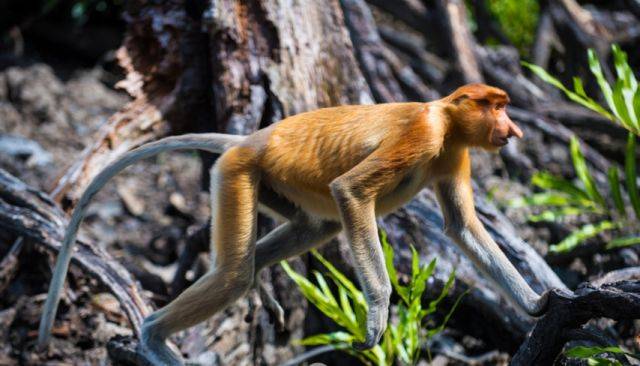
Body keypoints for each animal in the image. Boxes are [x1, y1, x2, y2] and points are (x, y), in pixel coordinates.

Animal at [38, 83, 552, 364]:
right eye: (496, 106)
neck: (445, 119)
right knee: (232, 274)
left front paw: (538, 303)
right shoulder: (422, 135)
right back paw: (154, 339)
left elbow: (463, 228)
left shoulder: (453, 154)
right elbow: (352, 191)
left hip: (270, 182)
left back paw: (261, 285)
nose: (514, 129)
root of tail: (250, 138)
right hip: (237, 172)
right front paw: (377, 315)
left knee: (313, 229)